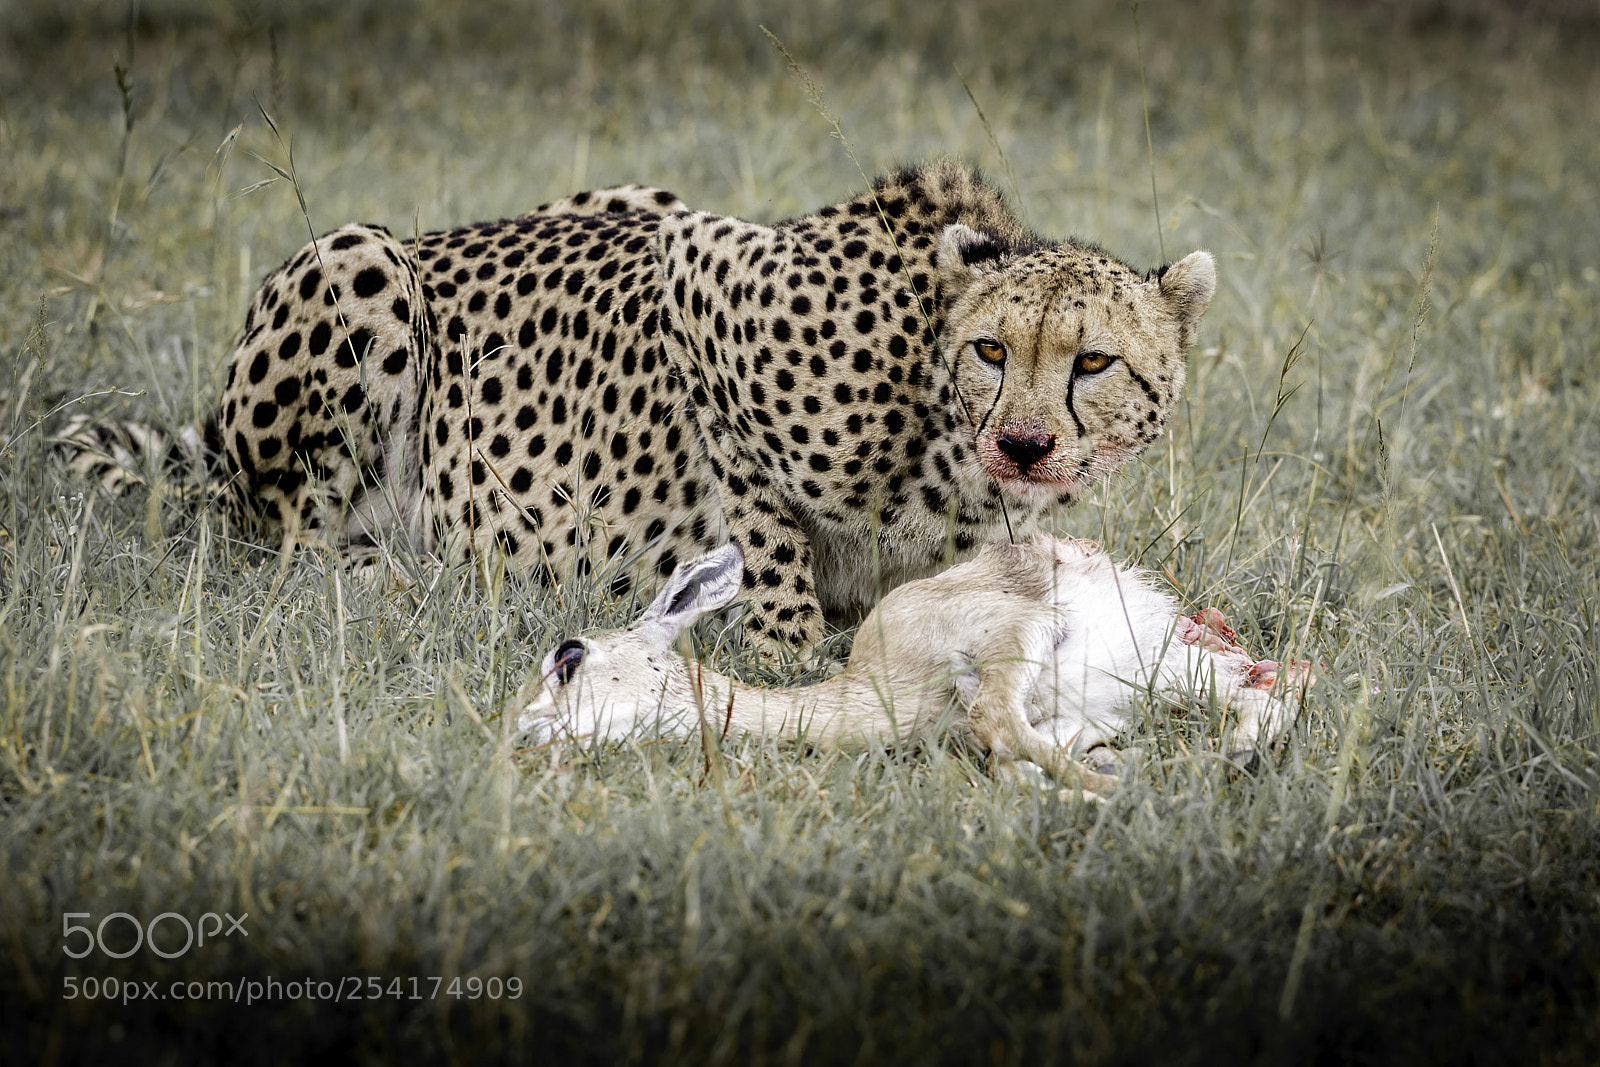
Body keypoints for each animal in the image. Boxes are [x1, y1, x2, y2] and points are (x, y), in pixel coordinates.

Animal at [151, 160, 1217, 650]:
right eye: (991, 351)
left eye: (1094, 362)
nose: (1026, 444)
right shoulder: (696, 278)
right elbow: (767, 534)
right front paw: (786, 647)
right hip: (358, 261)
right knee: (290, 547)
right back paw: (406, 576)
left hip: (625, 190)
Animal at [509, 538, 1311, 798]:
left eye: (568, 657)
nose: (524, 732)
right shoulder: (1060, 715)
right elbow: (1011, 762)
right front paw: (1111, 775)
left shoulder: (1017, 632)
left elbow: (998, 722)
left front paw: (1119, 784)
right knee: (1272, 690)